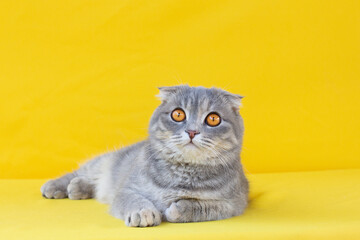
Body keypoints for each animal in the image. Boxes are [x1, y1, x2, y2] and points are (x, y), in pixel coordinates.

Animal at [39, 85, 248, 228]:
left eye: (213, 119)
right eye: (178, 114)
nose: (192, 131)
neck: (183, 174)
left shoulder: (233, 203)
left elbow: (203, 206)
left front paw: (179, 209)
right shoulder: (126, 189)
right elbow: (135, 200)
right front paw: (144, 213)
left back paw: (78, 188)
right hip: (104, 163)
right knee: (80, 172)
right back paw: (57, 187)